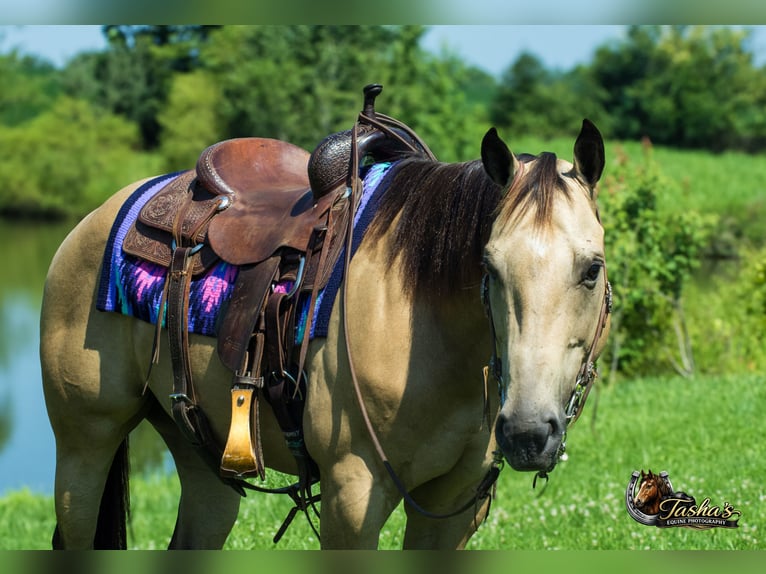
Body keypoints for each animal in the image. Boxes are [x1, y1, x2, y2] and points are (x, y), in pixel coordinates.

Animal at [40, 115, 610, 549]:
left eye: (592, 269)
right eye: (488, 267)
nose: (528, 433)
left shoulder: (452, 507)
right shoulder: (352, 497)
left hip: (201, 457)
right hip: (84, 447)